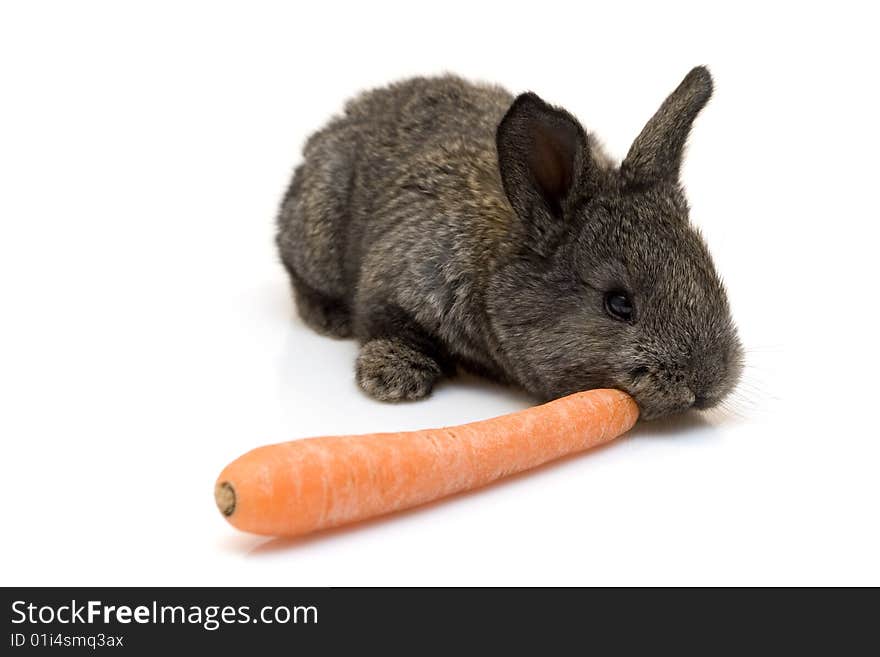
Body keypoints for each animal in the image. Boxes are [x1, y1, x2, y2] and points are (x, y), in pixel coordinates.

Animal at [276, 68, 744, 420]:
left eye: (710, 272)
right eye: (618, 304)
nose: (708, 383)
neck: (489, 266)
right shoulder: (392, 282)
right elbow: (388, 326)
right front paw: (394, 378)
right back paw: (329, 317)